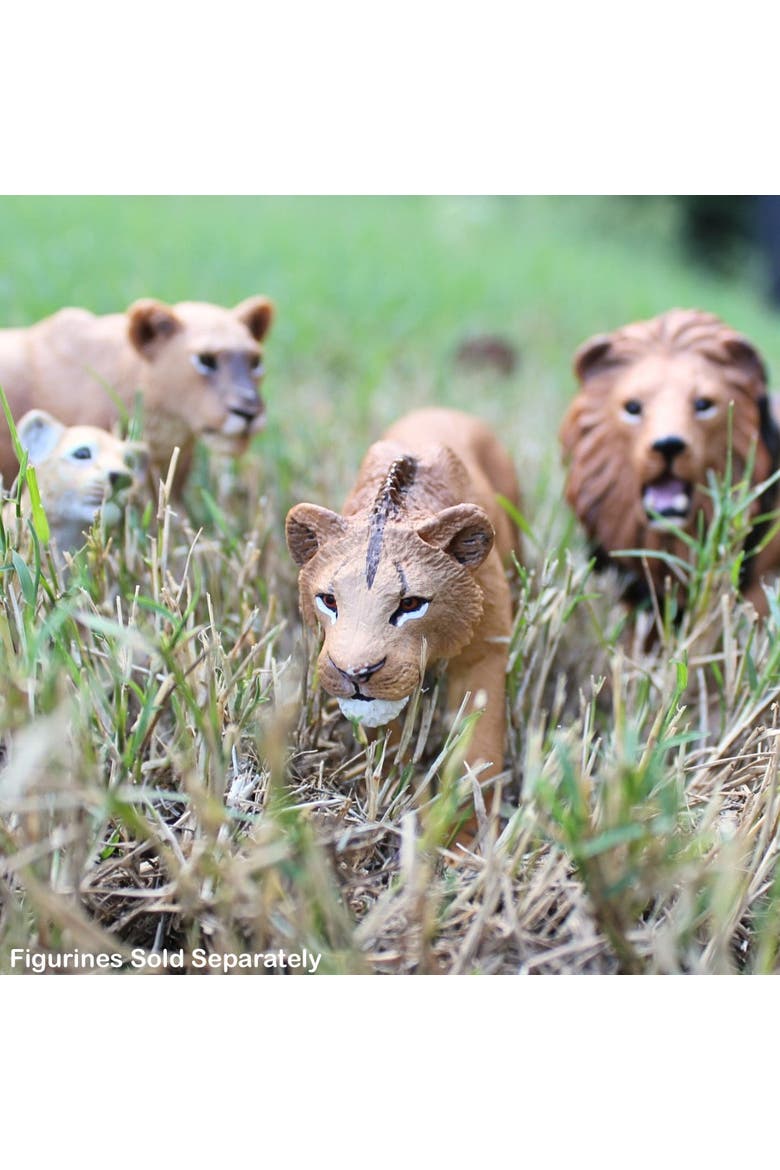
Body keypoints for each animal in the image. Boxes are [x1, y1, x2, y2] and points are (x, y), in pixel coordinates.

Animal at [286, 407, 522, 836]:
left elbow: (478, 750)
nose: (355, 673)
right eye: (329, 600)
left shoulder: (486, 650)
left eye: (411, 603)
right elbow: (391, 754)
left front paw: (467, 835)